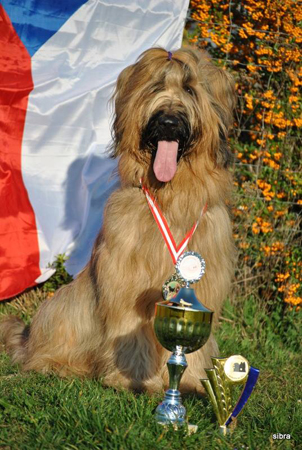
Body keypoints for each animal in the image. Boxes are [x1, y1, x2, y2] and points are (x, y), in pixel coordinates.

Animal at [0, 47, 236, 394]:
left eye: (190, 89)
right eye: (155, 87)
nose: (168, 122)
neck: (169, 198)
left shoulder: (201, 284)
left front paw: (191, 382)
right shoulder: (125, 278)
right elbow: (130, 327)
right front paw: (132, 379)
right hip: (64, 306)